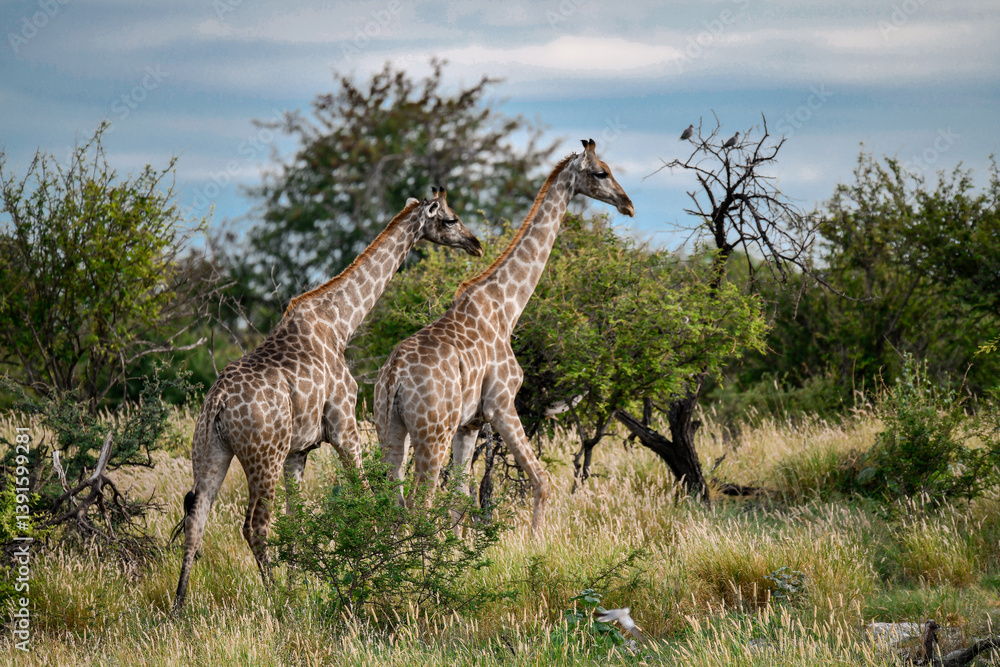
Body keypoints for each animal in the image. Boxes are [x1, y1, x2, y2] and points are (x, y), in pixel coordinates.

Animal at [173, 189, 483, 612]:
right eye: (450, 219)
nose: (475, 243)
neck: (340, 324)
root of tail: (218, 402)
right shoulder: (343, 425)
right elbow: (368, 498)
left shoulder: (297, 451)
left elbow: (297, 520)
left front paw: (304, 581)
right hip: (262, 454)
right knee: (254, 524)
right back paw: (276, 599)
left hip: (210, 450)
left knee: (197, 516)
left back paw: (179, 606)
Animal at [374, 139, 634, 533]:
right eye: (601, 172)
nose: (627, 204)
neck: (507, 306)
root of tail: (393, 378)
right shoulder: (501, 403)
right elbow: (541, 480)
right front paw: (537, 543)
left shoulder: (469, 424)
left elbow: (460, 500)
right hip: (433, 433)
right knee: (421, 502)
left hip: (390, 429)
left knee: (397, 501)